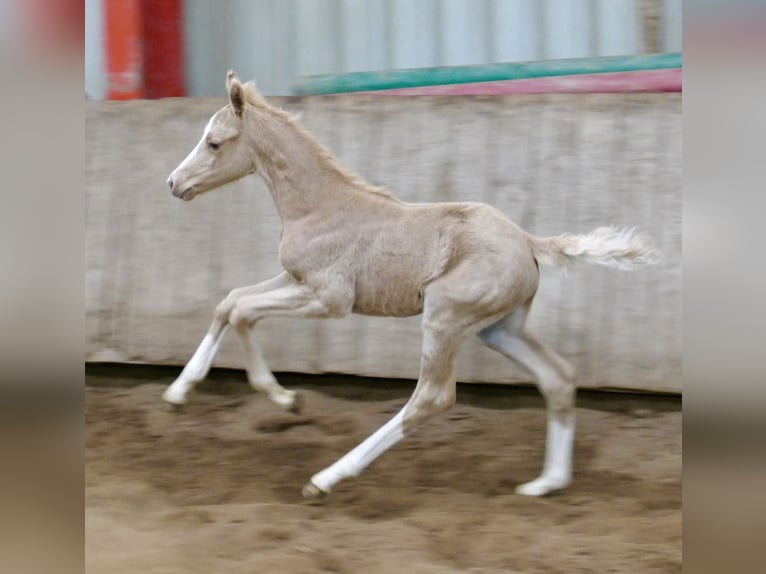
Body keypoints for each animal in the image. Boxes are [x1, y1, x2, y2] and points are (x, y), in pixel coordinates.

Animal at [165, 71, 656, 500]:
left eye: (214, 142)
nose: (173, 182)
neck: (319, 207)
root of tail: (529, 241)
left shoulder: (329, 299)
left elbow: (243, 311)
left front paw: (284, 399)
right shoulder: (295, 279)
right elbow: (230, 302)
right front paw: (179, 394)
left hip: (444, 317)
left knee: (432, 398)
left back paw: (326, 478)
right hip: (500, 329)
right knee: (558, 378)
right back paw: (545, 484)